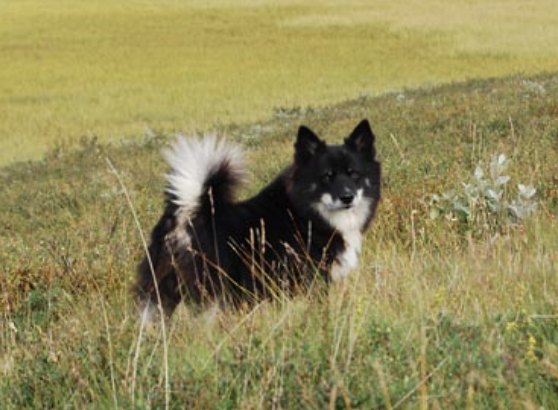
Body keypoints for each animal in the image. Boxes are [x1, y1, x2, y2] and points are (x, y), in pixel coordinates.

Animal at [135, 118, 380, 318]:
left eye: (354, 174)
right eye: (327, 176)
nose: (347, 197)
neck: (305, 213)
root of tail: (189, 210)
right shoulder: (312, 277)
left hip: (162, 291)